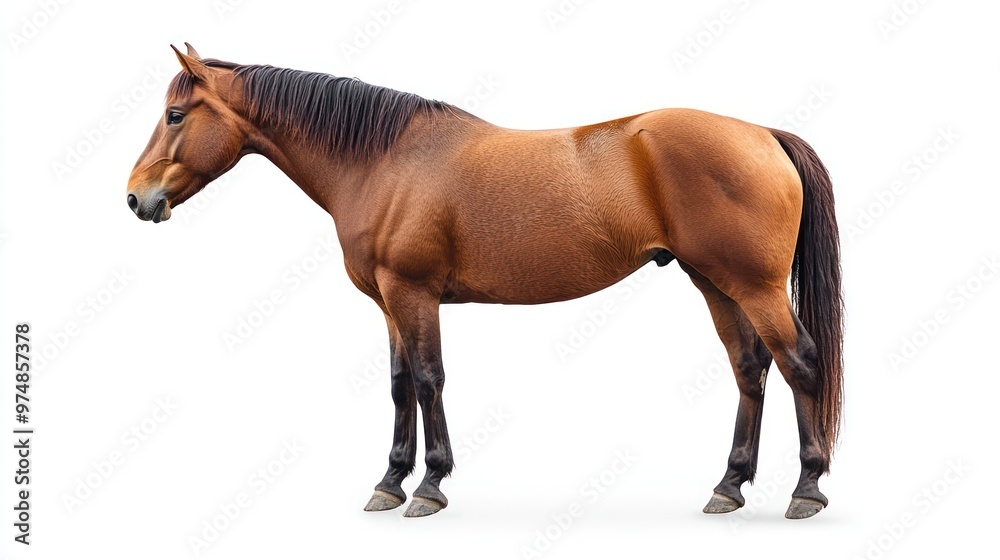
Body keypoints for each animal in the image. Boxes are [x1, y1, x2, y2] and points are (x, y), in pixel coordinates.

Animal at [126, 44, 843, 520]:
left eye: (175, 115)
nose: (137, 198)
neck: (384, 161)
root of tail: (763, 135)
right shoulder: (389, 303)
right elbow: (399, 386)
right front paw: (389, 482)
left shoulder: (414, 294)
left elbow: (428, 379)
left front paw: (430, 486)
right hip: (714, 282)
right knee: (751, 369)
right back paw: (729, 486)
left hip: (754, 285)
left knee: (801, 363)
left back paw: (806, 490)